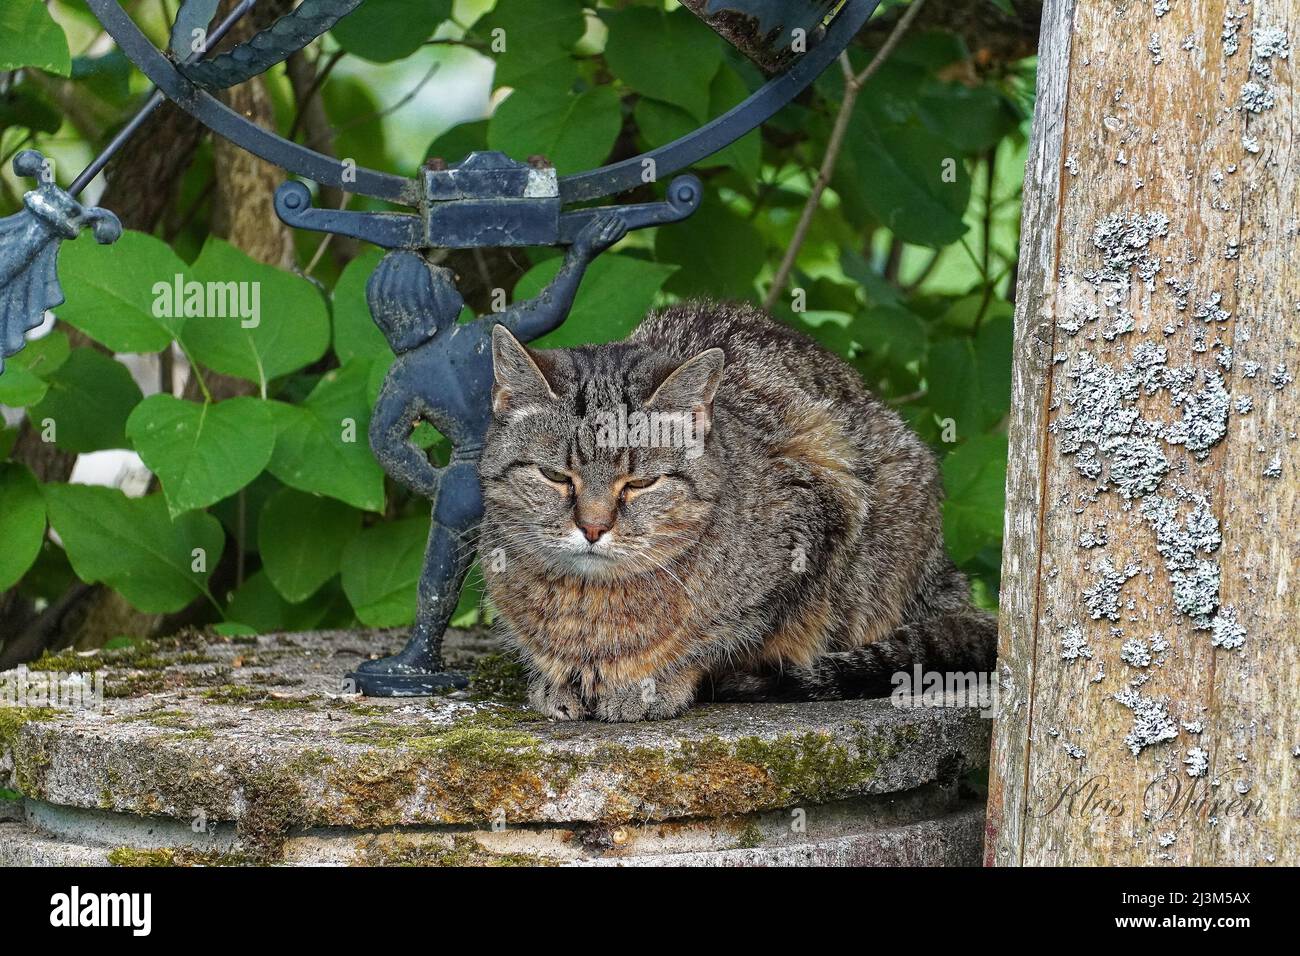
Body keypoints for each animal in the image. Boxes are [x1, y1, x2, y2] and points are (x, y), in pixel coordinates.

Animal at [478, 303, 993, 723]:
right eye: (556, 476)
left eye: (640, 483)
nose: (592, 527)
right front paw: (553, 680)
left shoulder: (818, 517)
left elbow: (715, 643)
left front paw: (650, 684)